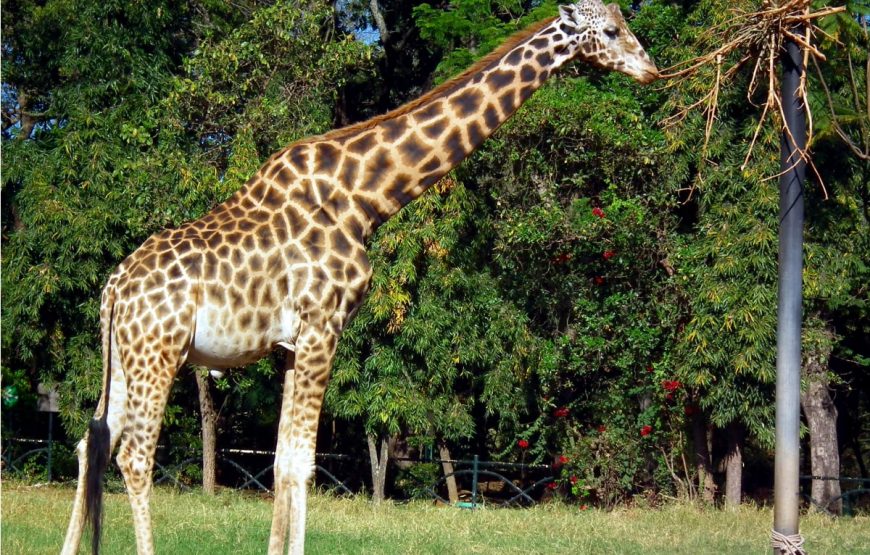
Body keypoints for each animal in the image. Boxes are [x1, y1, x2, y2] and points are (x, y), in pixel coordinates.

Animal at [61, 2, 656, 552]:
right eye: (610, 31)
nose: (649, 69)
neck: (366, 198)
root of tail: (114, 289)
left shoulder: (292, 343)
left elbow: (281, 459)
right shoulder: (323, 326)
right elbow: (300, 462)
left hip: (122, 356)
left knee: (93, 443)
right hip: (160, 352)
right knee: (135, 455)